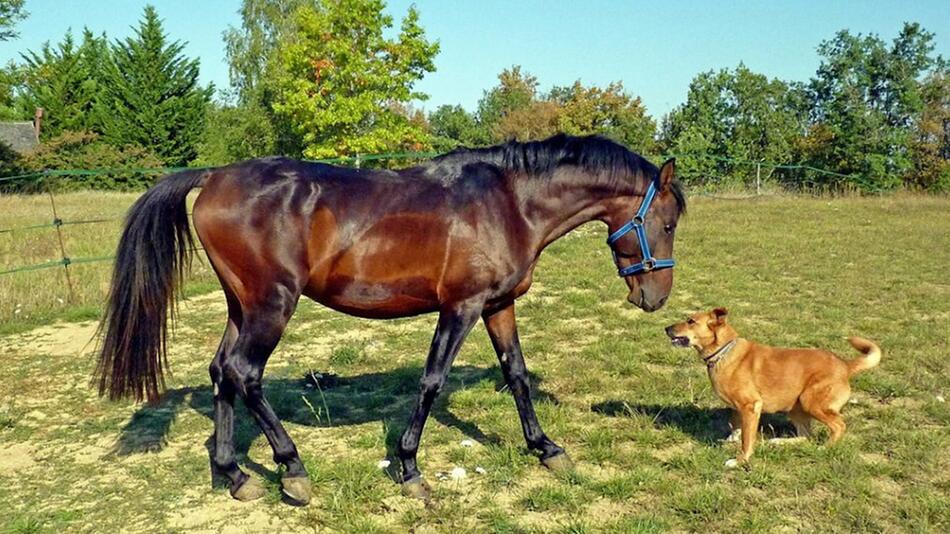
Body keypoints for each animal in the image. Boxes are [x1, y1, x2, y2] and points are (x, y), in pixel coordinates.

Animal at [95, 135, 684, 506]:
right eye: (669, 223)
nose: (654, 297)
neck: (510, 203)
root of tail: (215, 176)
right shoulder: (461, 307)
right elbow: (431, 382)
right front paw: (410, 470)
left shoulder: (499, 306)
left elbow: (515, 375)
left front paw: (547, 449)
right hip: (271, 305)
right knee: (245, 374)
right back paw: (293, 470)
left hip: (243, 307)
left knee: (222, 373)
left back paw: (236, 476)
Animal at [668, 310, 876, 468]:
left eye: (690, 321)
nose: (666, 328)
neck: (724, 352)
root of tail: (845, 365)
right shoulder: (738, 408)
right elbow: (736, 426)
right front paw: (730, 440)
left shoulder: (751, 406)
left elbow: (747, 439)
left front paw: (740, 460)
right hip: (796, 408)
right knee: (806, 436)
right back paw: (778, 442)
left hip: (811, 402)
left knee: (838, 426)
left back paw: (824, 448)